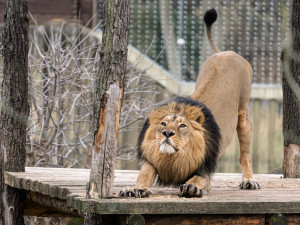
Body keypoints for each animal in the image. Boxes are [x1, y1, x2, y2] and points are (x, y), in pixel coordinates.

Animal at [120, 7, 258, 198]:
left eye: (182, 125)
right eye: (163, 124)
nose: (167, 134)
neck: (175, 157)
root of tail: (226, 52)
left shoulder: (205, 169)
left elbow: (199, 179)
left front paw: (191, 187)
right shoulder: (154, 161)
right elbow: (144, 173)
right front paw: (134, 188)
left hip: (244, 116)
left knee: (245, 154)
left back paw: (249, 180)